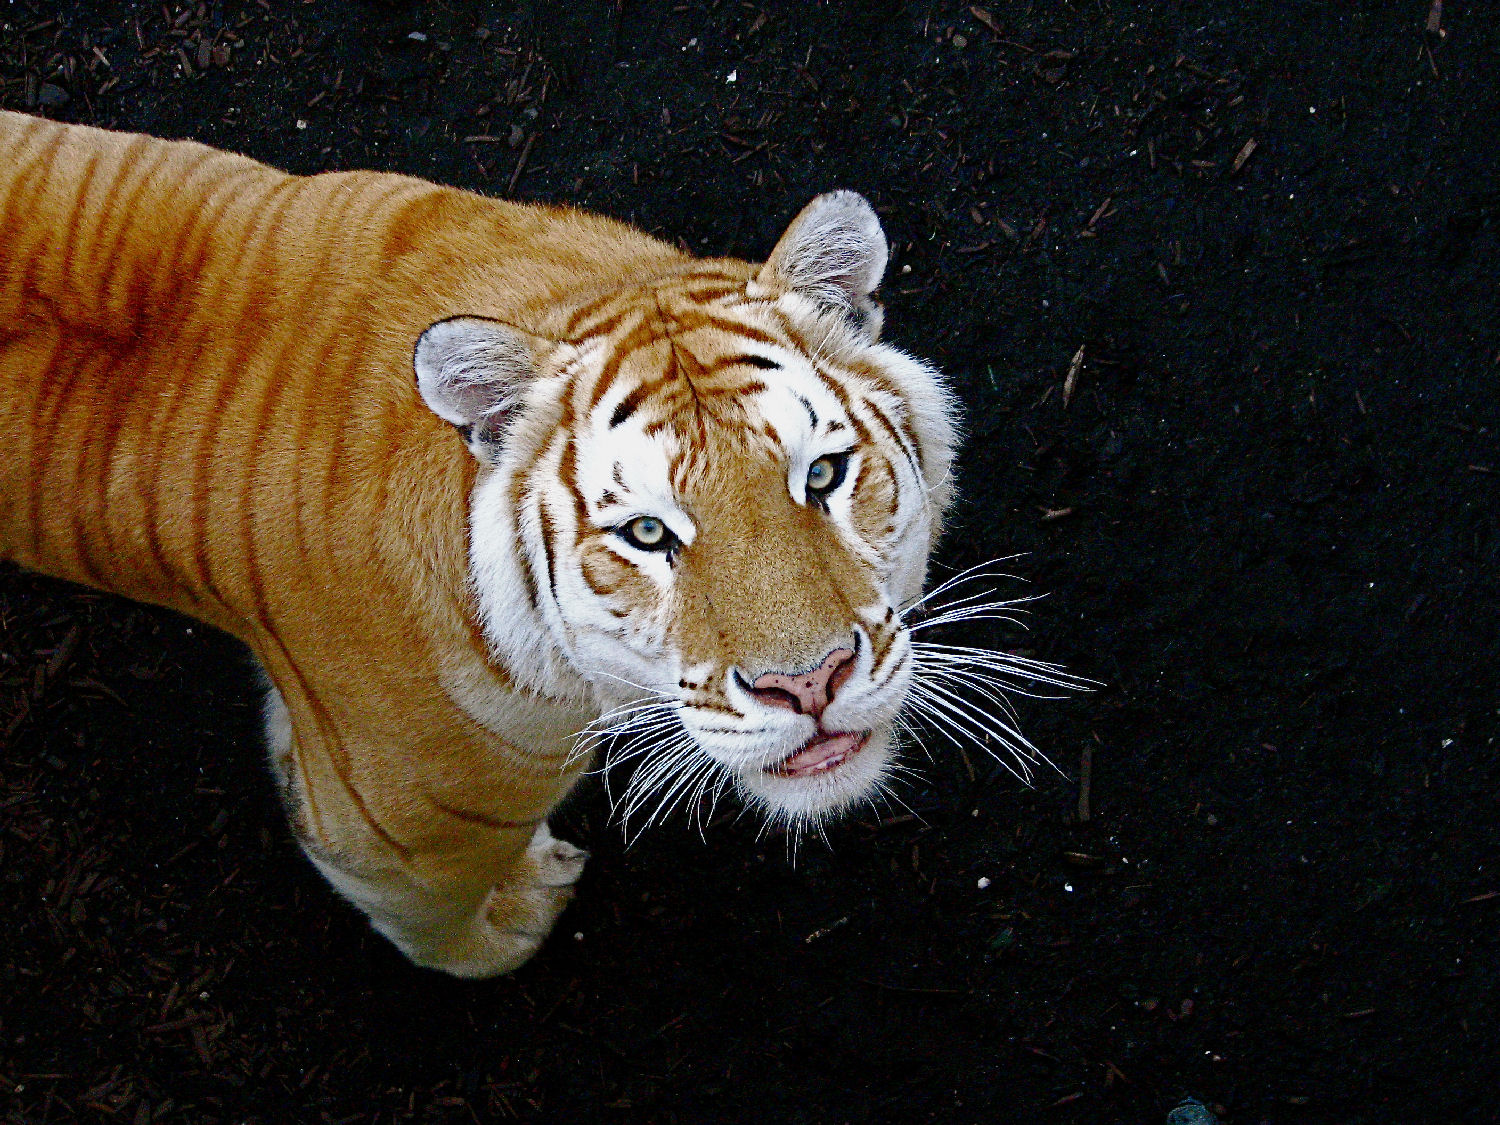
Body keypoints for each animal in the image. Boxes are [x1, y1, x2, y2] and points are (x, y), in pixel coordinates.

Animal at [0, 110, 1067, 978]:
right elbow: (436, 924)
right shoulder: (388, 833)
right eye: (647, 533)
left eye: (824, 476)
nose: (807, 684)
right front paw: (510, 924)